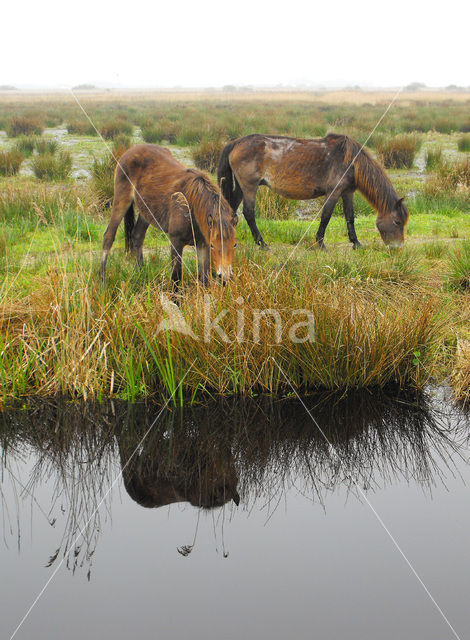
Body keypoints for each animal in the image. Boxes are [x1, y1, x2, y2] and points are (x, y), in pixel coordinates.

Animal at [99, 146, 239, 286]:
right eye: (212, 245)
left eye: (235, 244)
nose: (225, 277)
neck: (190, 205)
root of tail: (131, 150)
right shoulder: (176, 243)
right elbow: (176, 278)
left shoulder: (202, 245)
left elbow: (204, 279)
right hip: (121, 201)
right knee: (108, 236)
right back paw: (101, 277)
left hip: (146, 212)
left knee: (137, 235)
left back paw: (140, 271)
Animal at [218, 132, 410, 248]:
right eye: (397, 222)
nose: (397, 248)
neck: (351, 161)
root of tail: (236, 142)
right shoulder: (334, 192)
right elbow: (326, 217)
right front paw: (320, 244)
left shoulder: (347, 192)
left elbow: (350, 217)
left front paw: (356, 243)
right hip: (249, 187)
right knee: (249, 213)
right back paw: (262, 244)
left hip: (241, 188)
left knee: (231, 209)